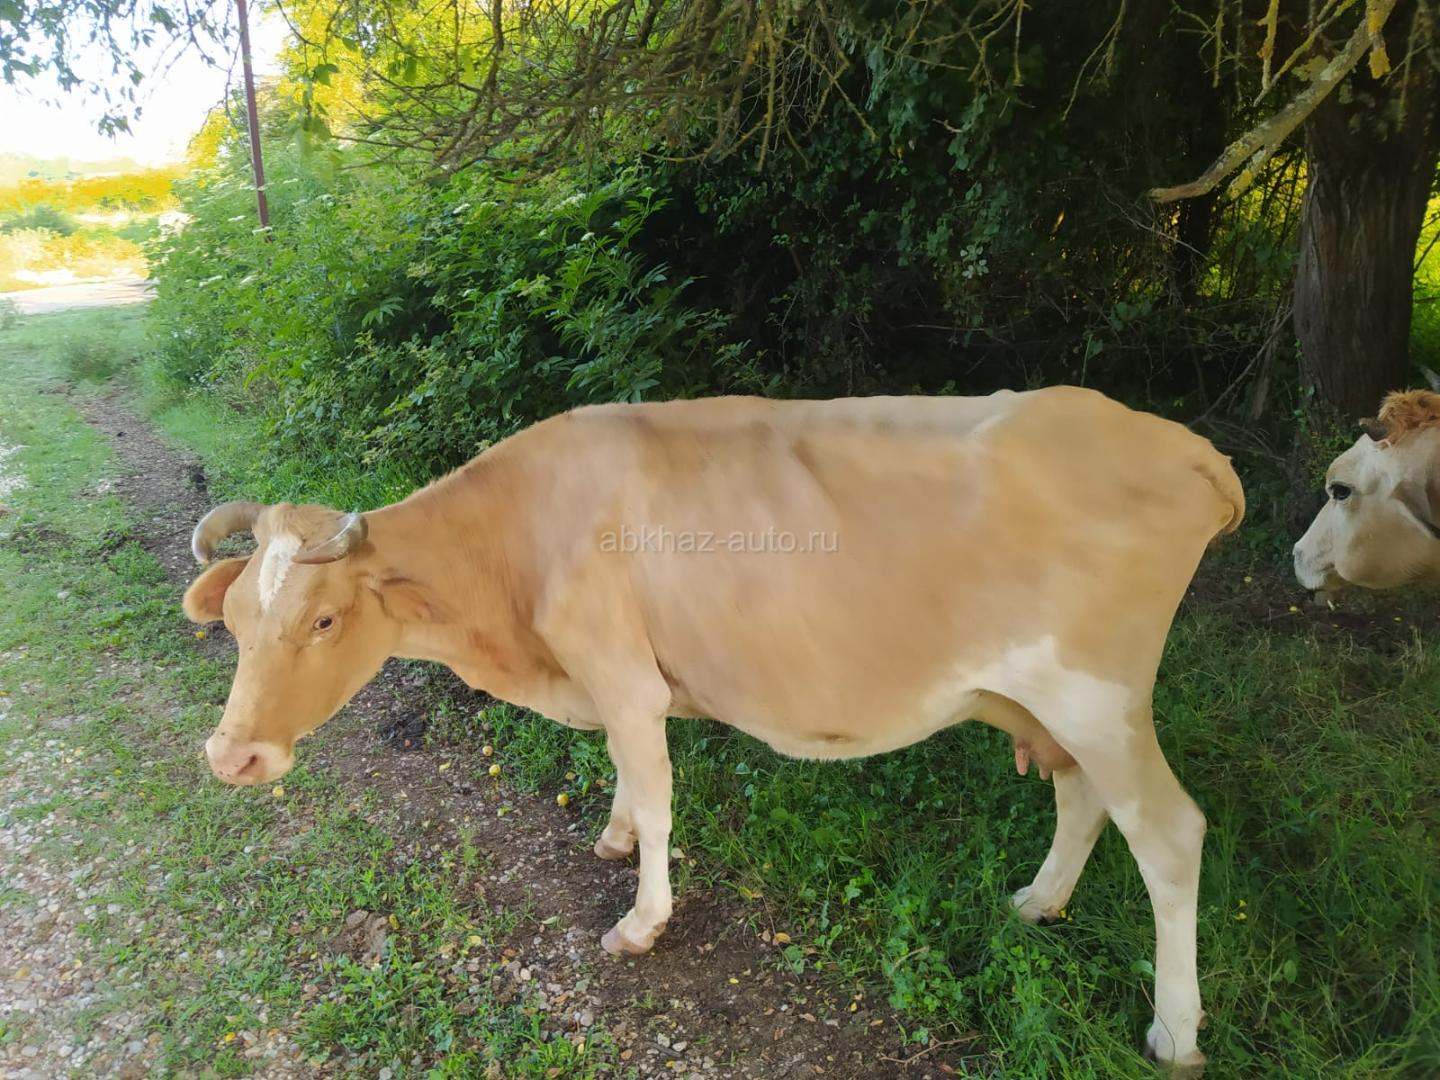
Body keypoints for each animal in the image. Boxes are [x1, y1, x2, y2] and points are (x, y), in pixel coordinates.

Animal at [183, 388, 1243, 1072]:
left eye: (325, 620)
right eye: (231, 619)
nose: (232, 757)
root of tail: (1175, 443)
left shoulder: (621, 673)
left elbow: (657, 795)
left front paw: (641, 919)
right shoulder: (621, 684)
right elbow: (625, 775)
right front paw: (610, 838)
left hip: (1097, 695)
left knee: (1171, 834)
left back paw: (1177, 1032)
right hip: (1054, 706)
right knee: (1081, 797)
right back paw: (1037, 902)